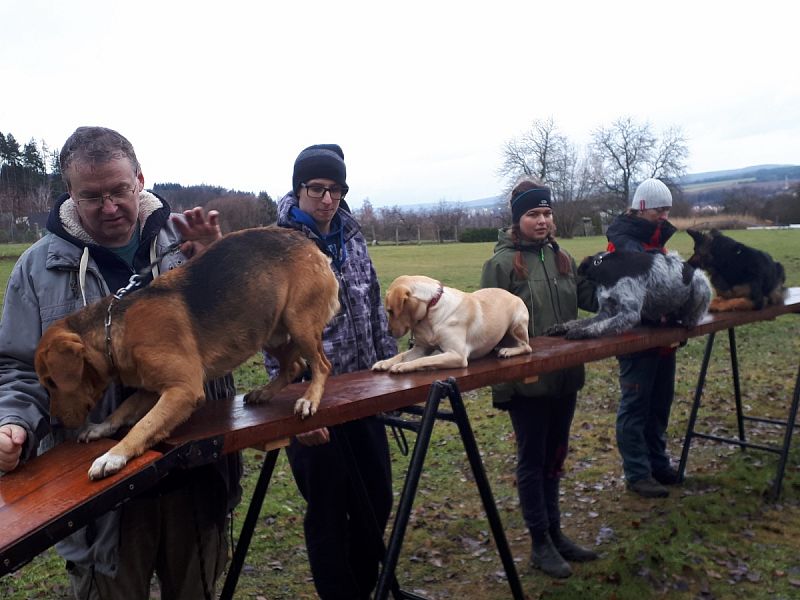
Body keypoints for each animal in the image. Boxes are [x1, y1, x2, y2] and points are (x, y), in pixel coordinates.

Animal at [548, 250, 708, 342]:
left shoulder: (630, 313)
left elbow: (599, 325)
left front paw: (581, 332)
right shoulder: (605, 311)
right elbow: (582, 321)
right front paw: (562, 327)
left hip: (700, 282)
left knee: (698, 313)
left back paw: (690, 320)